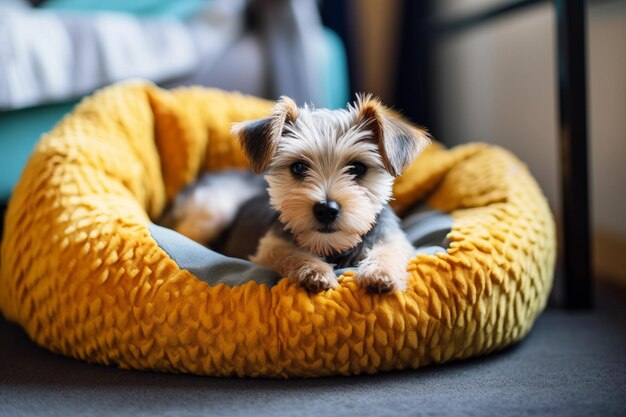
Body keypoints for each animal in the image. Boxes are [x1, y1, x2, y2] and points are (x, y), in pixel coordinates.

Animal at [166, 95, 428, 292]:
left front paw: (380, 273)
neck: (332, 248)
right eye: (299, 167)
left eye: (357, 168)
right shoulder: (271, 245)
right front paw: (314, 271)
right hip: (214, 212)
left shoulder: (395, 239)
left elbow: (391, 251)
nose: (326, 209)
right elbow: (291, 253)